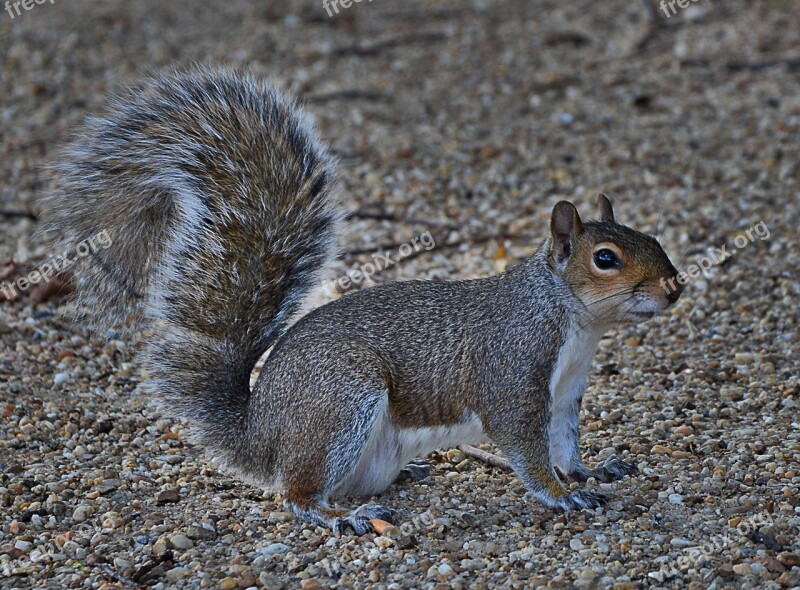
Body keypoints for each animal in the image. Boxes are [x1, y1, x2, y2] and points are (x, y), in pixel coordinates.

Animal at [42, 68, 680, 536]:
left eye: (653, 238)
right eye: (605, 258)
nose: (674, 286)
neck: (570, 319)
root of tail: (259, 433)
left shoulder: (567, 391)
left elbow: (565, 442)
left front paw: (590, 470)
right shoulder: (513, 373)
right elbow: (527, 446)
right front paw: (558, 496)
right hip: (342, 398)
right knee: (297, 493)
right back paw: (342, 515)